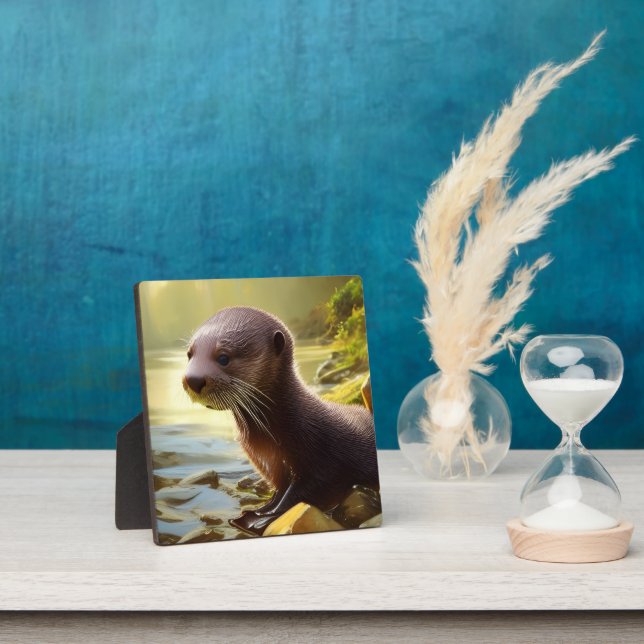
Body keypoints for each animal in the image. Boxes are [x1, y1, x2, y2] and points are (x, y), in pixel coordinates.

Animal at [182, 306, 379, 534]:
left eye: (223, 357)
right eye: (190, 354)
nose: (192, 379)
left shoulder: (324, 460)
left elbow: (306, 492)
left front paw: (259, 520)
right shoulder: (271, 466)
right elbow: (279, 492)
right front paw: (260, 511)